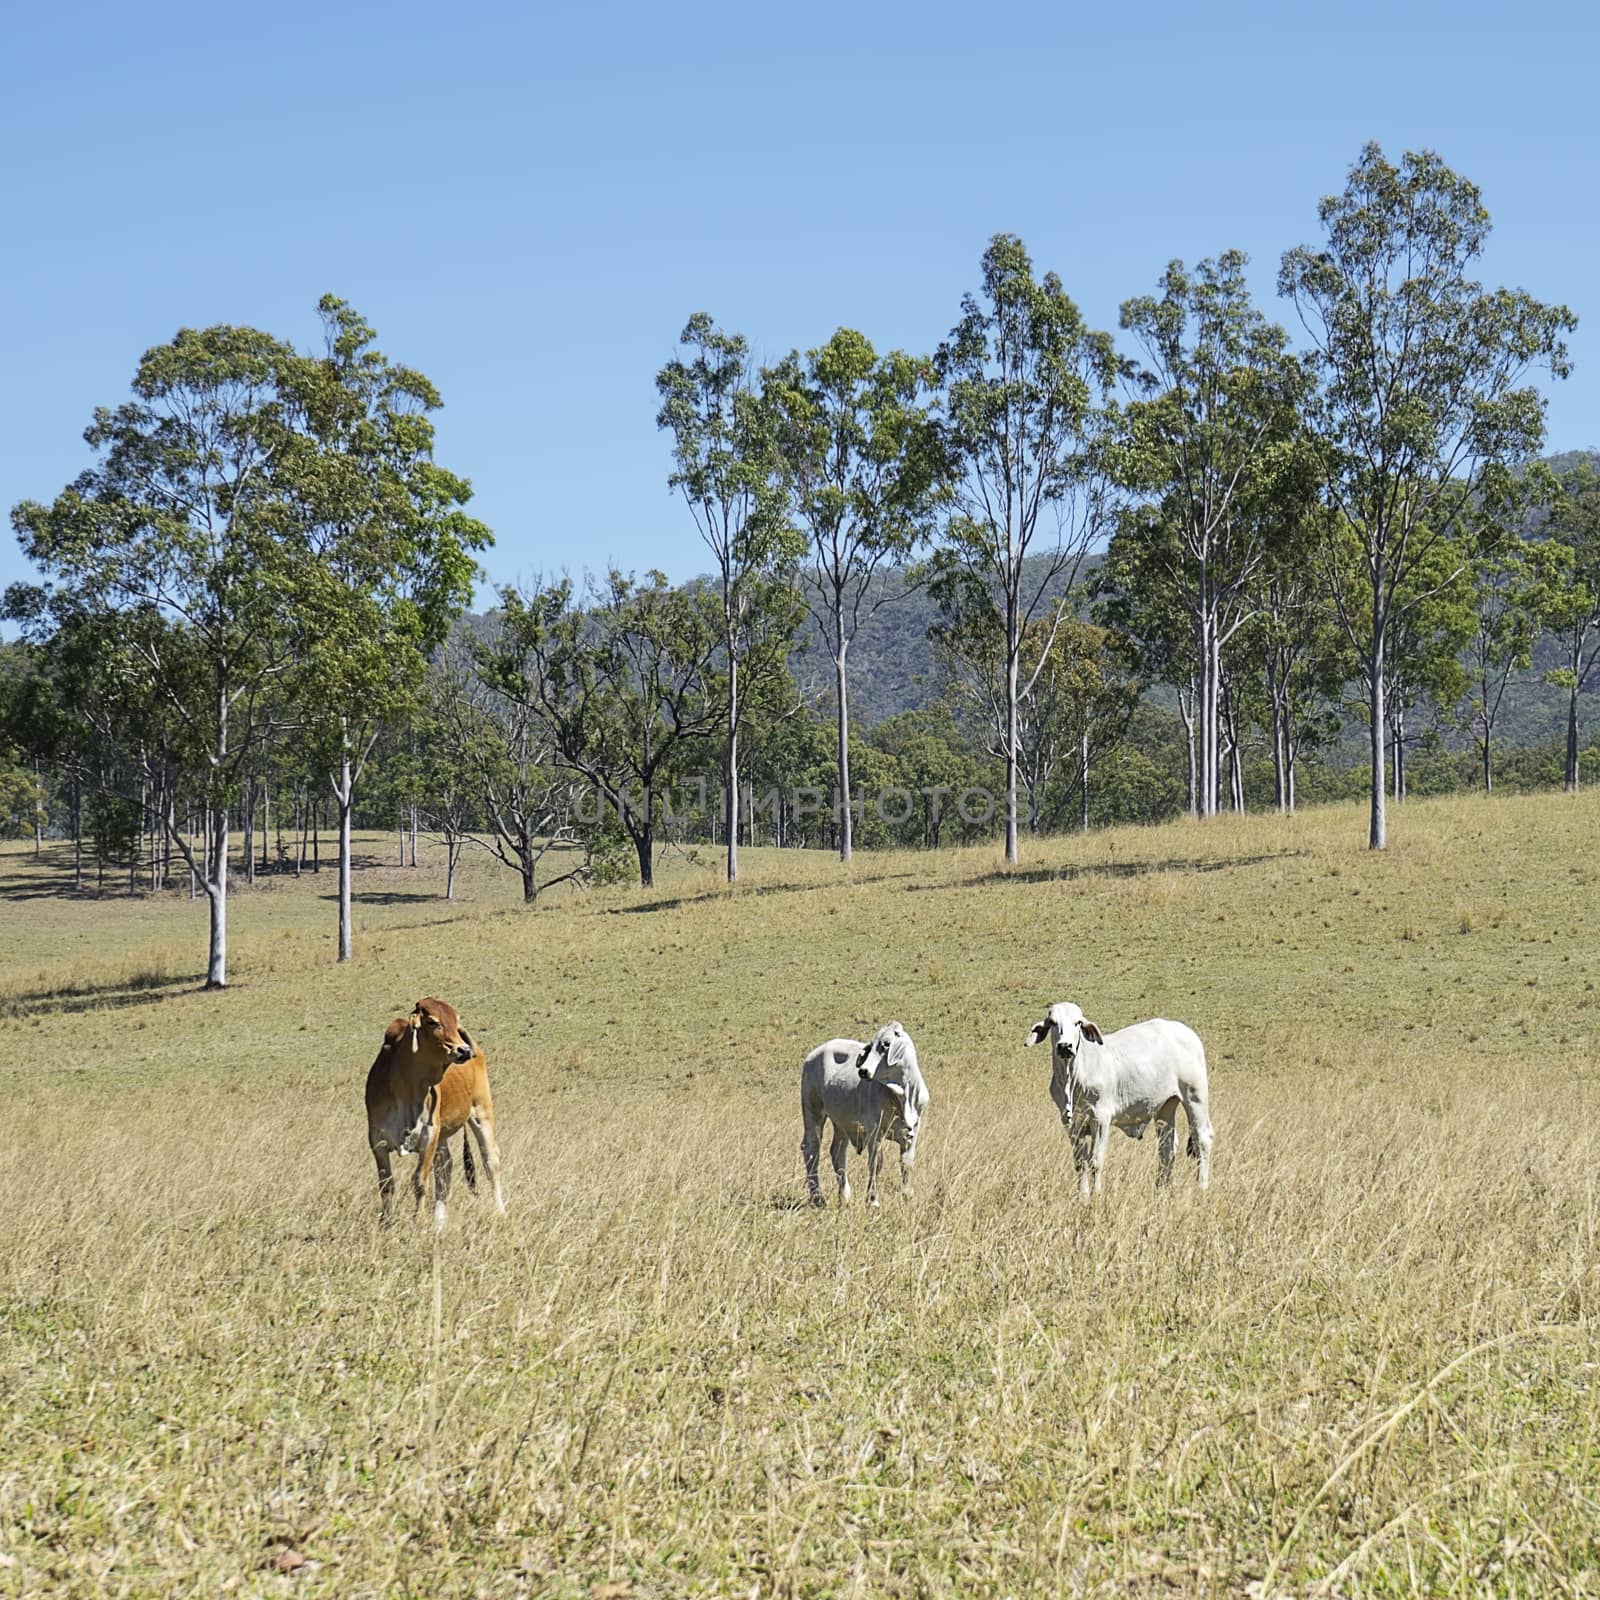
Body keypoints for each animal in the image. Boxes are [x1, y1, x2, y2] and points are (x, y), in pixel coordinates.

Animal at [366, 992, 505, 1228]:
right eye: (432, 1022)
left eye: (455, 1021)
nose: (464, 1050)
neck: (407, 1087)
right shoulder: (377, 1139)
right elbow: (386, 1184)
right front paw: (386, 1223)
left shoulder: (429, 1135)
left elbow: (420, 1181)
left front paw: (418, 1223)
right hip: (444, 1135)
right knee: (445, 1168)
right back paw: (439, 1223)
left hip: (482, 1112)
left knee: (490, 1162)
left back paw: (500, 1211)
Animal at [800, 1024, 928, 1203]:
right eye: (871, 1044)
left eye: (886, 1044)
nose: (862, 1071)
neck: (903, 1094)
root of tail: (813, 1055)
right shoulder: (874, 1130)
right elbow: (876, 1163)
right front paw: (872, 1200)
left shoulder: (913, 1129)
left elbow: (906, 1162)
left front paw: (907, 1195)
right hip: (812, 1110)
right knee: (812, 1149)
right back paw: (817, 1197)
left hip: (842, 1122)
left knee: (837, 1151)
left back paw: (845, 1196)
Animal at [1024, 1004, 1209, 1196]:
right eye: (1053, 1022)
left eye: (1078, 1022)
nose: (1065, 1046)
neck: (1073, 1078)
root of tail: (1186, 1031)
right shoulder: (1071, 1123)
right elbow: (1080, 1163)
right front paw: (1083, 1195)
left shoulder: (1100, 1119)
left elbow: (1096, 1161)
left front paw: (1097, 1194)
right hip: (1165, 1106)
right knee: (1167, 1148)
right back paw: (1160, 1189)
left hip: (1195, 1096)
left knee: (1201, 1140)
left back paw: (1201, 1186)